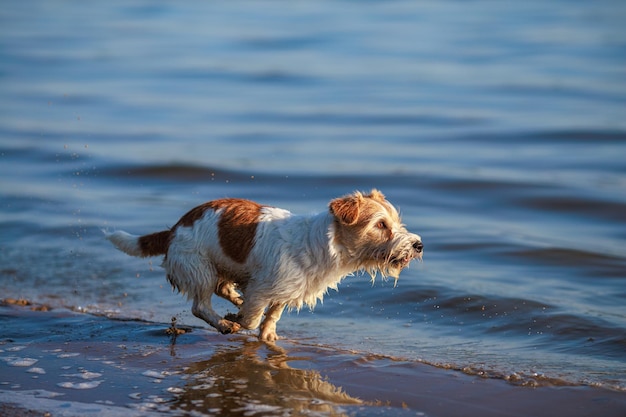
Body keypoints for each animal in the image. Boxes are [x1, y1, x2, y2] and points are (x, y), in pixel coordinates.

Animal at [105, 190, 422, 340]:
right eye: (380, 225)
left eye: (396, 222)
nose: (418, 245)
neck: (319, 243)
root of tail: (174, 228)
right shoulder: (262, 289)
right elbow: (252, 318)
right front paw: (235, 319)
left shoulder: (285, 290)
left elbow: (272, 315)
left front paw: (268, 336)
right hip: (199, 267)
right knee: (200, 306)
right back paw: (224, 322)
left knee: (222, 289)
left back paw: (234, 298)